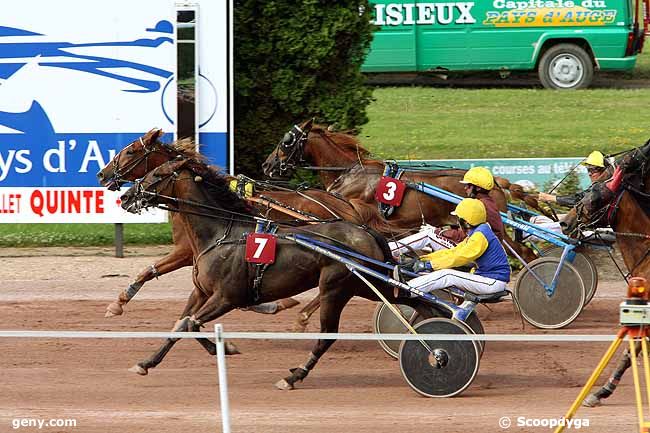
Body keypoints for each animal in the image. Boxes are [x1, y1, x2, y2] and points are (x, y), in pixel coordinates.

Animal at [95, 128, 362, 320]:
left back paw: (304, 316)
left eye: (131, 151)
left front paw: (117, 304)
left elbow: (149, 270)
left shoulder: (185, 251)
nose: (102, 174)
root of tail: (345, 205)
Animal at [120, 154, 430, 388]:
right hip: (365, 286)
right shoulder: (201, 292)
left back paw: (294, 376)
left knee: (328, 335)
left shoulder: (226, 298)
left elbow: (191, 324)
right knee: (418, 302)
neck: (220, 233)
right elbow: (179, 326)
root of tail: (366, 231)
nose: (126, 196)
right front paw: (146, 363)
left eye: (156, 174)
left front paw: (226, 348)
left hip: (336, 288)